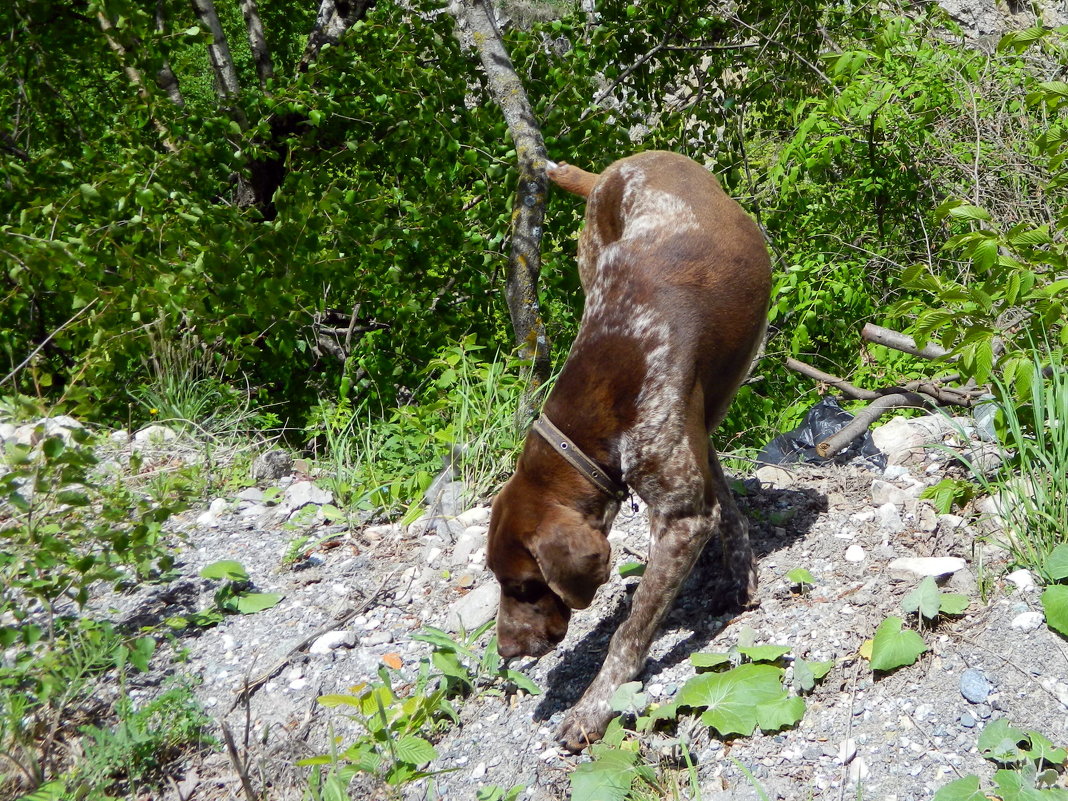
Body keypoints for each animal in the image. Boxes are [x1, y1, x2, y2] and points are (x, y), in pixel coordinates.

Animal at [489, 149, 773, 751]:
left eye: (525, 586)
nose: (507, 651)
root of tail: (610, 171)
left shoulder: (681, 514)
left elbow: (628, 631)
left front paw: (594, 706)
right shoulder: (688, 452)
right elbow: (725, 503)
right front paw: (740, 570)